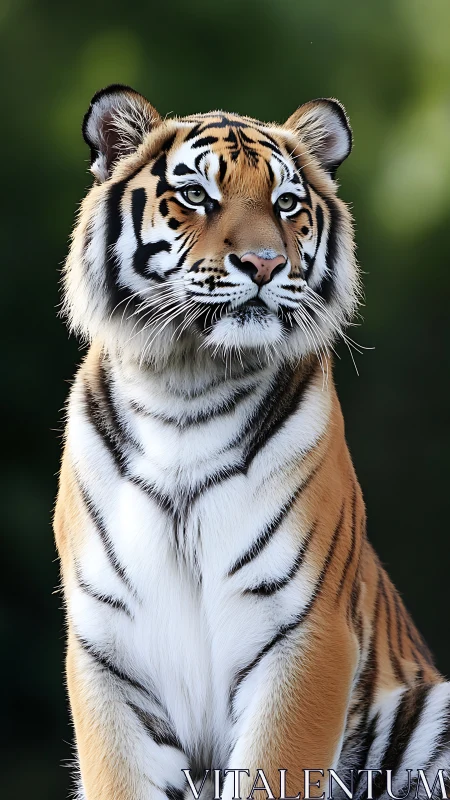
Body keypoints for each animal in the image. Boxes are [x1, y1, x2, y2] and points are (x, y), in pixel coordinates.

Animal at [54, 84, 450, 800]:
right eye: (195, 195)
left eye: (286, 203)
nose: (265, 264)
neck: (183, 389)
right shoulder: (108, 652)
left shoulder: (306, 633)